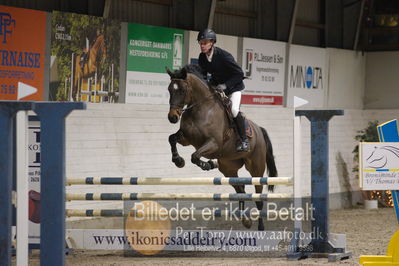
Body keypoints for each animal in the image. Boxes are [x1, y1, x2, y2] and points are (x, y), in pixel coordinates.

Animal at [166, 64, 278, 231]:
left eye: (182, 90)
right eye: (169, 89)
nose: (172, 117)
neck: (200, 108)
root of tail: (259, 130)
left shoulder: (213, 143)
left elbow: (195, 156)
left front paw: (206, 164)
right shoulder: (186, 138)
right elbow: (172, 138)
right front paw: (178, 161)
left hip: (256, 168)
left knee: (258, 197)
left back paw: (260, 226)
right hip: (228, 168)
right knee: (240, 190)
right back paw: (246, 221)